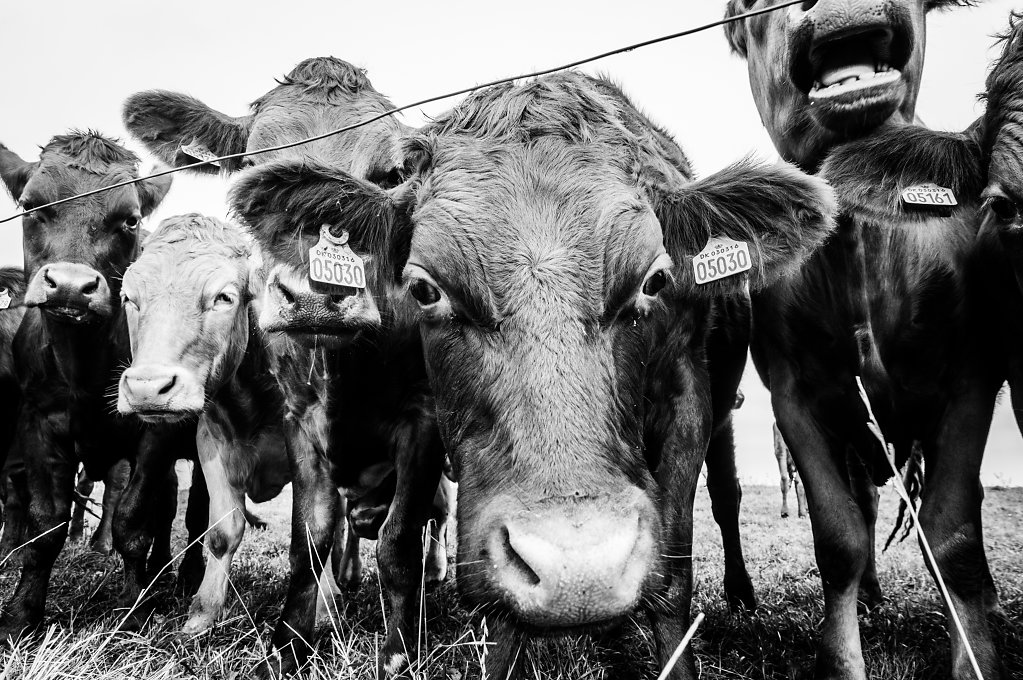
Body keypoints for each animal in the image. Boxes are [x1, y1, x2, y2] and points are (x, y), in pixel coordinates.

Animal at [0, 131, 194, 639]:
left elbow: (133, 520)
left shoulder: (154, 433)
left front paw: (135, 608)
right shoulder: (37, 425)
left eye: (129, 219)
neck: (84, 366)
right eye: (31, 206)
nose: (70, 286)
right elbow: (45, 526)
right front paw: (21, 614)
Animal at [123, 57, 452, 676]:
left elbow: (400, 540)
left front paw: (401, 649)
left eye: (390, 173)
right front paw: (290, 641)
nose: (313, 296)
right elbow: (308, 537)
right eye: (252, 169)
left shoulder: (423, 420)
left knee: (437, 517)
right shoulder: (300, 423)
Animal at [228, 71, 837, 679]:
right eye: (425, 289)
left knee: (727, 498)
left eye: (655, 281)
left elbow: (675, 567)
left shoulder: (688, 400)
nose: (579, 569)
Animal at [725, 1, 1006, 677]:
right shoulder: (794, 399)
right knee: (867, 508)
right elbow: (839, 539)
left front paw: (974, 656)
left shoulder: (971, 380)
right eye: (747, 9)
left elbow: (953, 537)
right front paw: (842, 660)